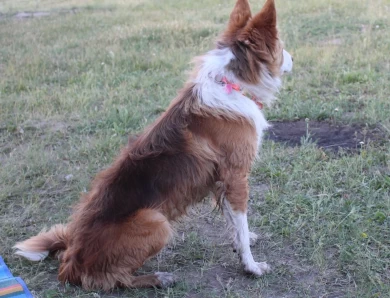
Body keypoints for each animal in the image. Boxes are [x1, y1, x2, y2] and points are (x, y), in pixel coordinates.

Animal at [13, 0, 292, 292]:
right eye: (281, 47)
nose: (293, 59)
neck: (231, 83)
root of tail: (70, 260)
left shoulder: (223, 181)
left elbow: (233, 222)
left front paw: (242, 240)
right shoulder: (236, 176)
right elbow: (239, 221)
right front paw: (251, 265)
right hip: (156, 221)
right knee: (112, 279)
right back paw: (157, 278)